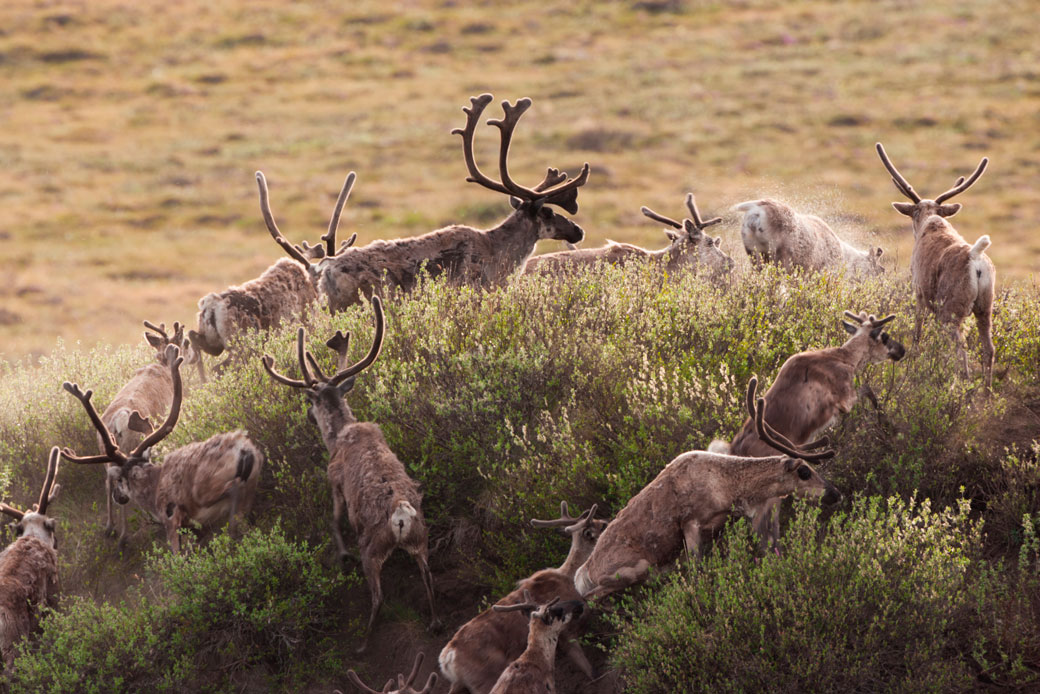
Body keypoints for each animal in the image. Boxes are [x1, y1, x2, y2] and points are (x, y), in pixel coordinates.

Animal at [264, 299, 438, 653]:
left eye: (312, 401)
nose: (308, 414)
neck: (339, 435)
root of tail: (401, 514)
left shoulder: (334, 481)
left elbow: (333, 519)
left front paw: (341, 554)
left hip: (371, 547)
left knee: (379, 596)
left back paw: (363, 644)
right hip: (422, 538)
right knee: (429, 578)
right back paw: (434, 623)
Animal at [574, 380, 840, 599]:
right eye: (804, 471)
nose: (835, 494)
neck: (727, 488)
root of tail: (583, 574)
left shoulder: (717, 527)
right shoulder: (690, 522)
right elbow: (698, 570)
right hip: (635, 568)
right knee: (590, 598)